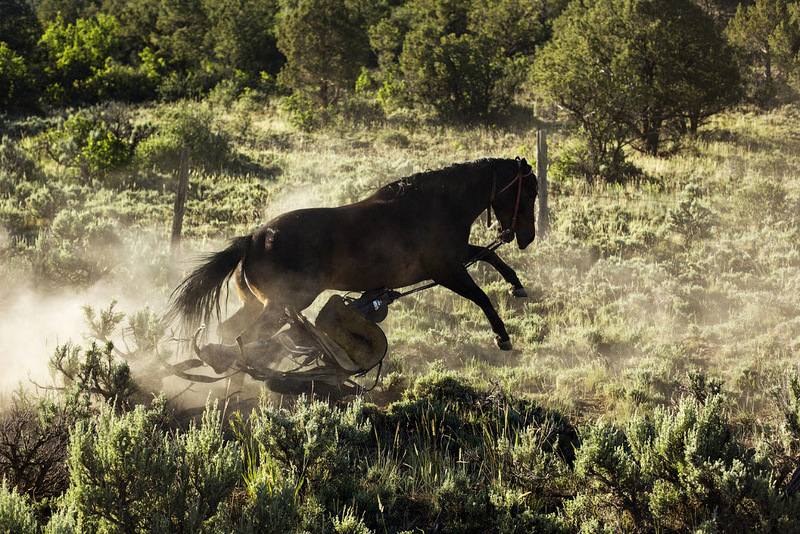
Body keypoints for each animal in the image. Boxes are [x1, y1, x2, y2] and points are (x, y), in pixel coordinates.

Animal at [173, 158, 540, 352]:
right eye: (531, 191)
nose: (527, 238)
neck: (437, 206)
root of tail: (253, 238)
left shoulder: (455, 258)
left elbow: (491, 258)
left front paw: (516, 286)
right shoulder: (447, 271)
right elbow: (482, 297)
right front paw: (502, 336)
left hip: (257, 304)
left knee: (228, 332)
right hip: (281, 305)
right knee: (246, 338)